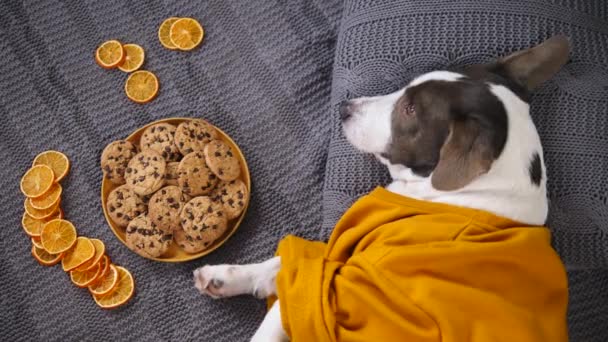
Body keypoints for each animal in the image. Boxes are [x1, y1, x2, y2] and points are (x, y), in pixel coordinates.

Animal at [194, 36, 568, 340]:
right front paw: (225, 276)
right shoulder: (334, 268)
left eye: (410, 109)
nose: (344, 107)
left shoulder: (337, 297)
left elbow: (289, 292)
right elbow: (290, 263)